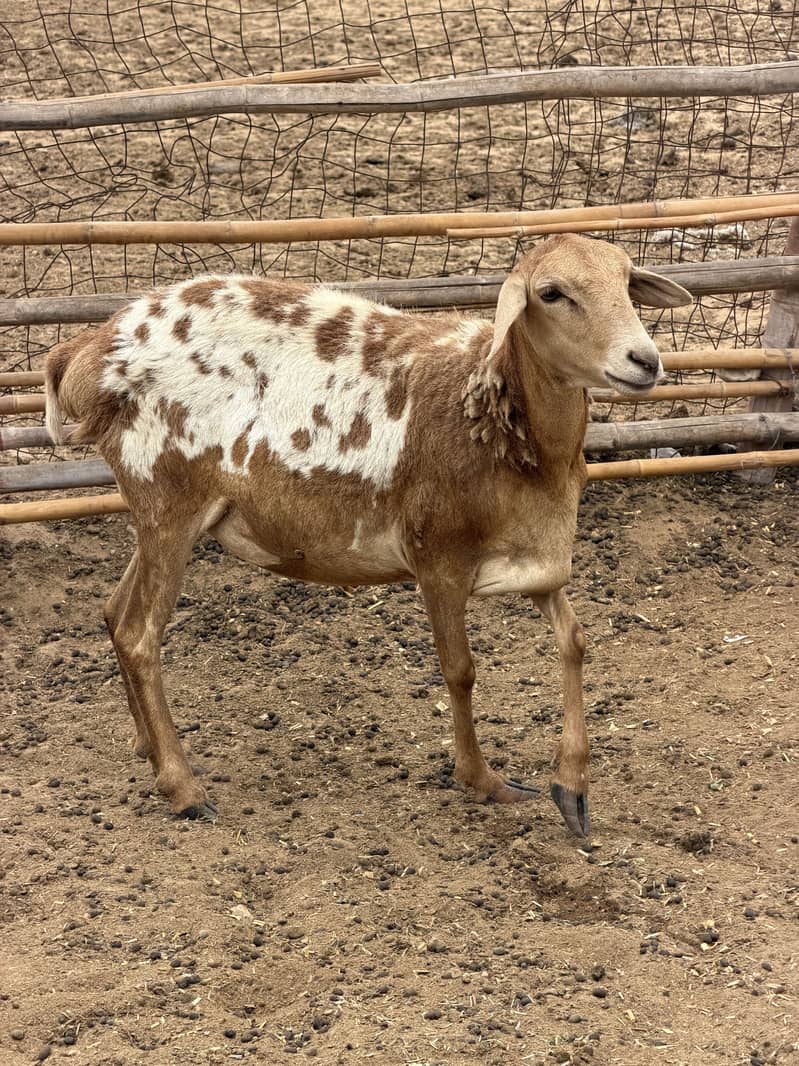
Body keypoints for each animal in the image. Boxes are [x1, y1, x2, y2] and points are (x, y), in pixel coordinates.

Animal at [45, 234, 691, 837]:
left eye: (626, 280)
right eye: (552, 293)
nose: (644, 360)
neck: (504, 427)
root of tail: (84, 352)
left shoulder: (538, 561)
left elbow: (575, 645)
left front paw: (572, 791)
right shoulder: (438, 556)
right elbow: (459, 670)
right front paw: (482, 780)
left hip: (158, 513)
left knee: (114, 612)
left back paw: (149, 751)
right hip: (168, 497)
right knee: (139, 634)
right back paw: (182, 787)